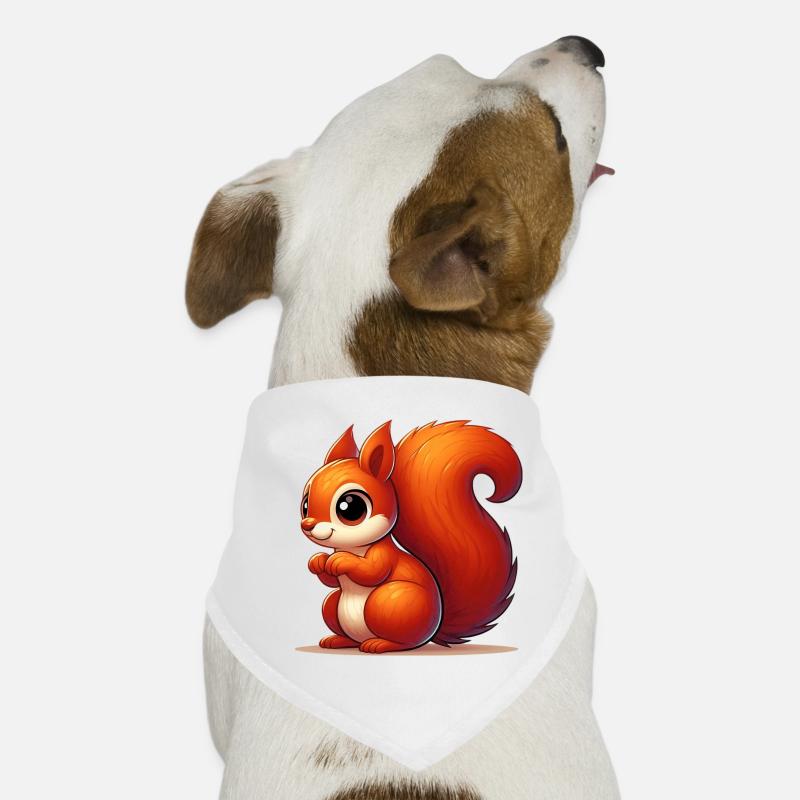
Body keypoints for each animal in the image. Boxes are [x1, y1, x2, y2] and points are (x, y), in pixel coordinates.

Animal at [300, 420, 523, 654]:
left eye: (351, 508)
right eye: (305, 505)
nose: (308, 525)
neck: (353, 547)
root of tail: (433, 629)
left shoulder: (384, 555)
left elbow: (372, 572)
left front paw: (340, 561)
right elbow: (331, 582)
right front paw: (318, 561)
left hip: (391, 602)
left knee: (405, 642)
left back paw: (379, 644)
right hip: (333, 606)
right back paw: (338, 640)